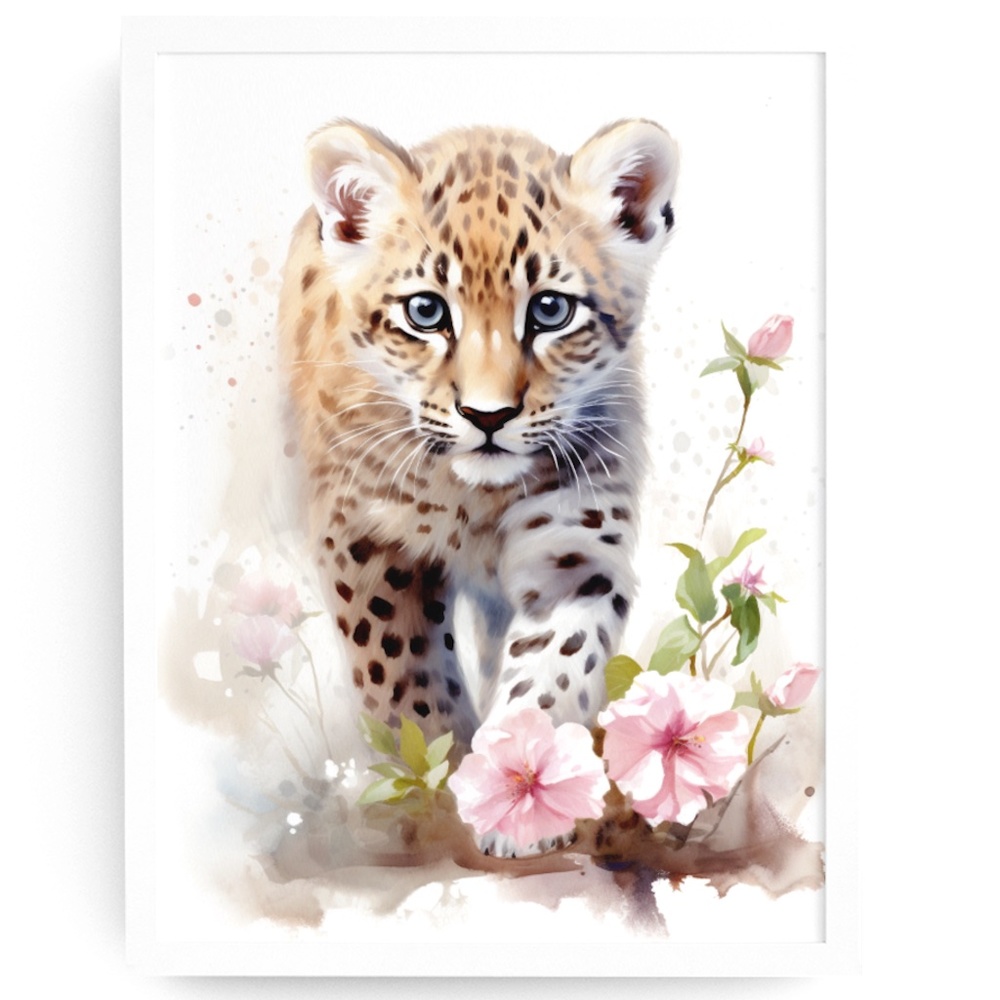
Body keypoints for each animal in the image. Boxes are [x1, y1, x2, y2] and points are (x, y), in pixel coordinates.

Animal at [278, 118, 678, 762]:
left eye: (550, 310)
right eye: (425, 311)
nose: (487, 415)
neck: (476, 502)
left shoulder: (574, 543)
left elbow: (553, 668)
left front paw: (515, 766)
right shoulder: (364, 536)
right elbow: (402, 679)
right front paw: (431, 764)